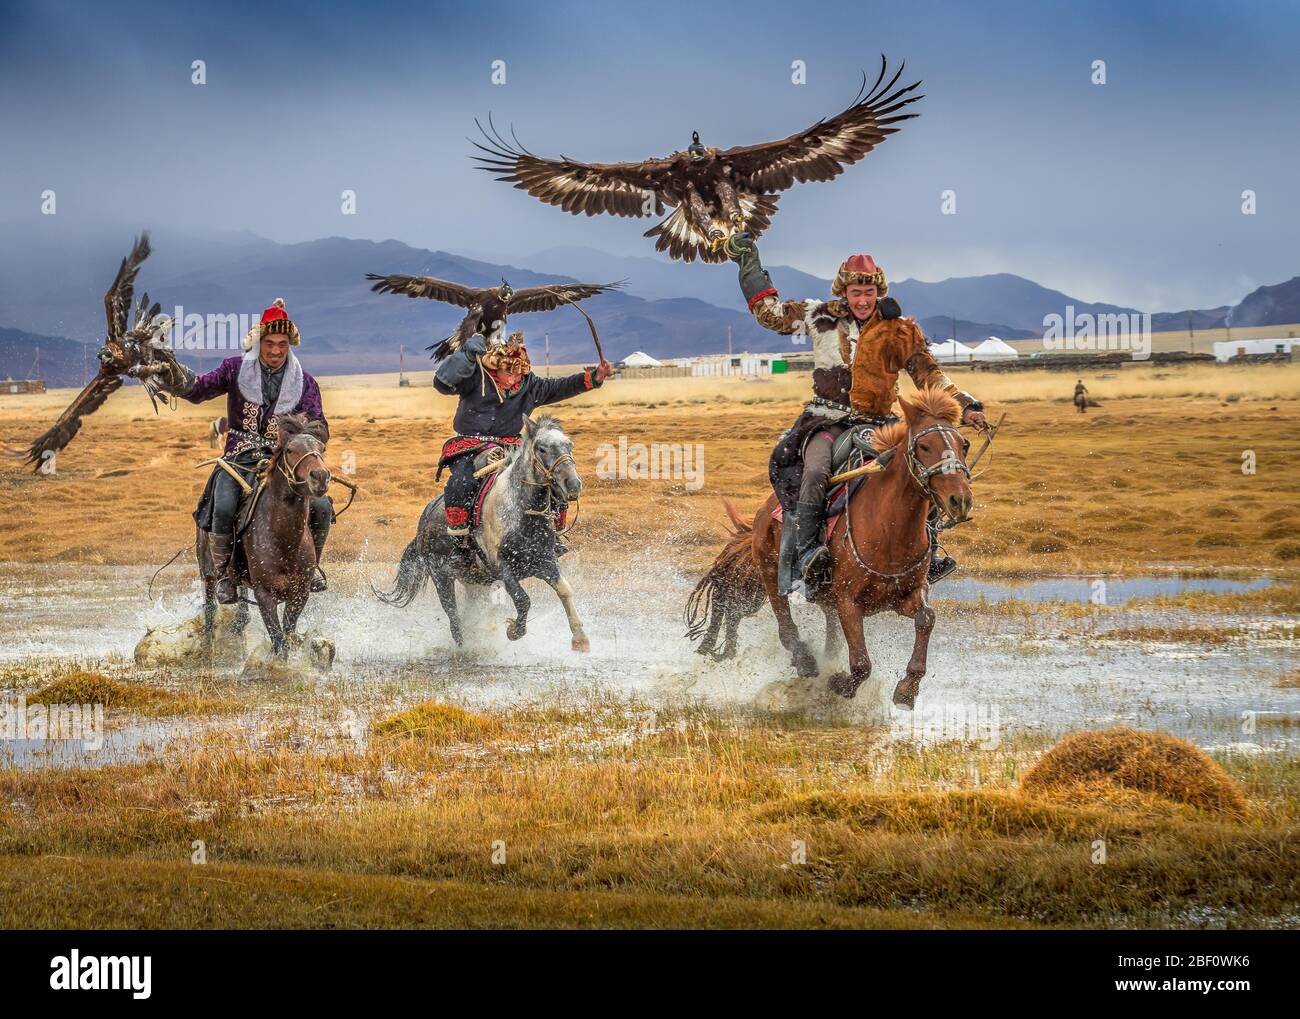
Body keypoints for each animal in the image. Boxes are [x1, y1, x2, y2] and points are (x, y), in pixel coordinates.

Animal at [196, 415, 332, 660]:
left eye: (321, 448)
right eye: (290, 450)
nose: (320, 477)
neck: (284, 541)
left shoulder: (299, 595)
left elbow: (287, 634)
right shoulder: (265, 595)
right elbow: (278, 640)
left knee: (240, 606)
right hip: (208, 574)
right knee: (209, 612)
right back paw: (208, 651)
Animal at [691, 389, 977, 707]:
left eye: (964, 445)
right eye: (925, 446)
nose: (960, 500)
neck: (888, 532)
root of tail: (762, 514)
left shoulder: (908, 594)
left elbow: (927, 619)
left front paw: (907, 689)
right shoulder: (848, 602)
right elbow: (861, 663)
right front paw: (840, 684)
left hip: (821, 595)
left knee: (826, 634)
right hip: (771, 575)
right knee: (785, 627)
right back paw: (806, 662)